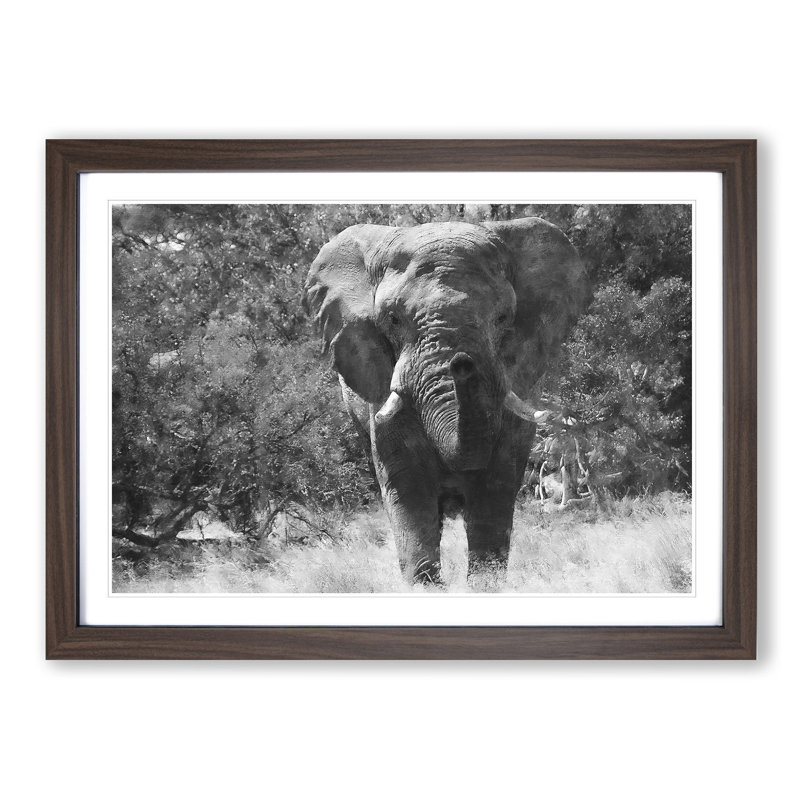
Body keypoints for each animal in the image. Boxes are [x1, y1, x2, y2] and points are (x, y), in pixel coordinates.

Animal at [303, 216, 588, 584]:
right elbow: (408, 490)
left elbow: (495, 488)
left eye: (502, 318)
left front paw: (485, 584)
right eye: (393, 319)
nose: (461, 362)